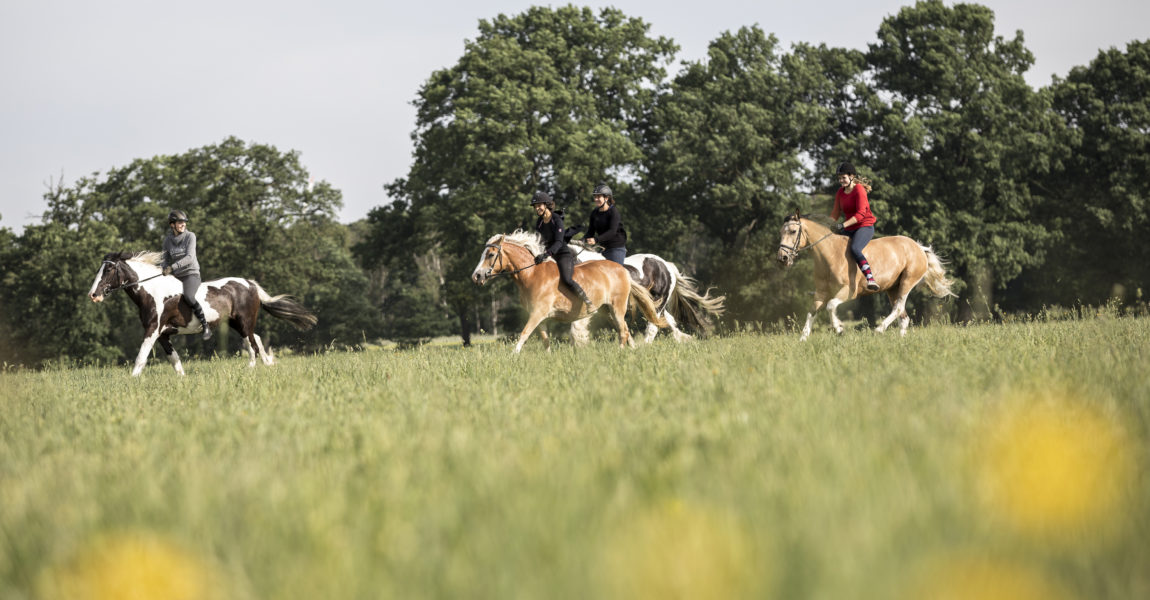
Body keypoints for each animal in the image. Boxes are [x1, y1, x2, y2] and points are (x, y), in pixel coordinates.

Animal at [88, 248, 319, 372]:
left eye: (109, 269)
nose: (93, 295)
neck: (151, 291)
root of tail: (250, 284)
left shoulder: (153, 330)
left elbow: (141, 357)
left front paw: (132, 380)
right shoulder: (163, 335)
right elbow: (174, 360)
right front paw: (182, 381)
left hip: (244, 322)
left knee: (252, 345)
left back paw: (251, 369)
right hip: (236, 323)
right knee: (257, 340)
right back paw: (267, 365)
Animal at [466, 228, 667, 349]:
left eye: (491, 254)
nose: (476, 276)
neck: (532, 274)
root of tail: (622, 270)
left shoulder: (538, 313)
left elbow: (524, 334)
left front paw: (512, 357)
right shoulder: (540, 317)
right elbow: (545, 340)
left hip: (617, 308)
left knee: (624, 331)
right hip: (607, 310)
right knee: (624, 331)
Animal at [570, 243, 722, 340]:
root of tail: (666, 265)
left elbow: (576, 328)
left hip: (657, 302)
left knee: (653, 326)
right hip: (653, 304)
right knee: (667, 321)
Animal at [777, 212, 956, 337]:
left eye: (793, 231)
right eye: (781, 232)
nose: (782, 258)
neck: (830, 254)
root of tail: (918, 247)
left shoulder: (849, 291)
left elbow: (830, 306)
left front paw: (839, 328)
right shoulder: (821, 292)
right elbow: (811, 312)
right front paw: (803, 339)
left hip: (907, 282)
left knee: (898, 308)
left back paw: (879, 329)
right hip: (892, 288)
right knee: (903, 317)